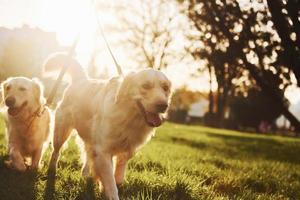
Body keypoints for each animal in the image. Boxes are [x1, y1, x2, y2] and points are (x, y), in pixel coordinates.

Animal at [45, 53, 171, 200]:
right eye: (145, 86)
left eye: (165, 88)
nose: (163, 105)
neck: (129, 117)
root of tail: (81, 79)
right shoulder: (103, 151)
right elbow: (110, 181)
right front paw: (107, 190)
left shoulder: (126, 152)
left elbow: (118, 177)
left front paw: (105, 185)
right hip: (61, 132)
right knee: (56, 152)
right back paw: (52, 171)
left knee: (87, 154)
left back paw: (86, 174)